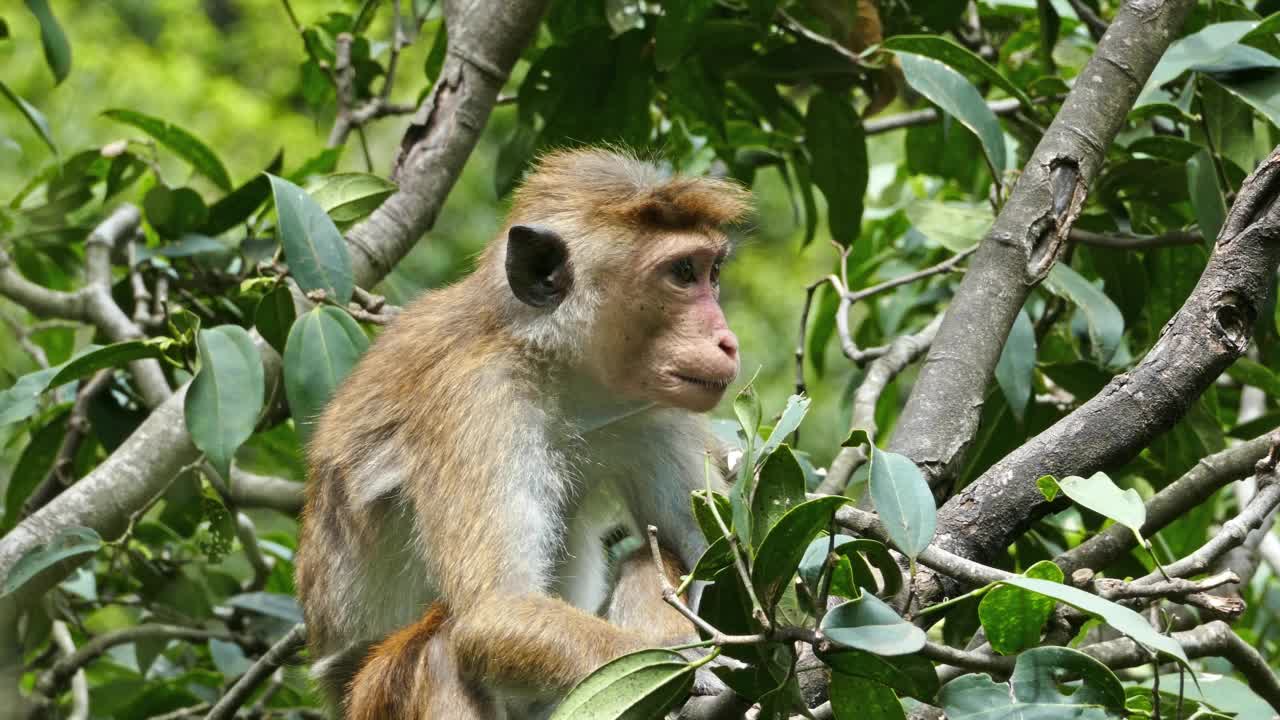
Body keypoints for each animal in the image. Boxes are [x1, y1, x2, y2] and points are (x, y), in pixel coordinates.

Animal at [294, 147, 752, 717]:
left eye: (713, 271)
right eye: (682, 273)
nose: (727, 341)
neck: (555, 371)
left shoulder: (655, 413)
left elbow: (718, 556)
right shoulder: (476, 403)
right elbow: (497, 613)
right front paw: (696, 672)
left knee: (651, 553)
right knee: (443, 650)